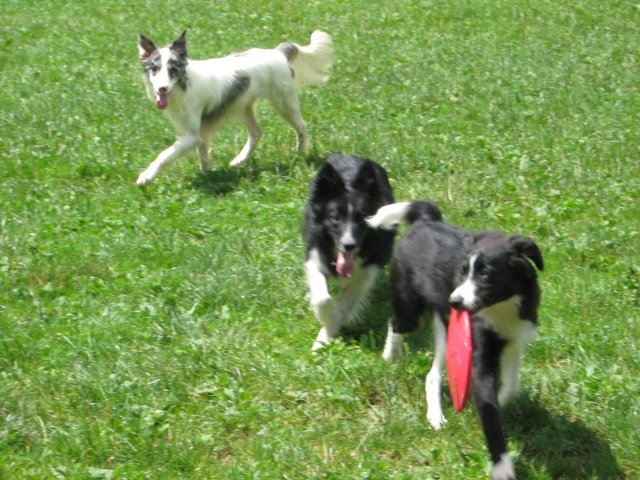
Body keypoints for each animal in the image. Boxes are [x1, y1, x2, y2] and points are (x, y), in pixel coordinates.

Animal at [135, 29, 336, 184]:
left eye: (173, 70)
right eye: (154, 69)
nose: (162, 88)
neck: (184, 84)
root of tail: (278, 52)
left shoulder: (191, 136)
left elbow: (165, 155)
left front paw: (146, 177)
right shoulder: (199, 132)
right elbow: (203, 154)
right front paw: (207, 174)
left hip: (284, 103)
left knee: (302, 127)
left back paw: (300, 154)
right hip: (241, 106)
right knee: (256, 132)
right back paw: (239, 161)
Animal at [368, 201, 544, 478]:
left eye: (485, 274)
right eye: (462, 272)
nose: (455, 301)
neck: (502, 306)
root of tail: (427, 220)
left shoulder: (514, 339)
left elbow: (511, 387)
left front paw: (499, 402)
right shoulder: (481, 358)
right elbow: (491, 418)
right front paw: (502, 465)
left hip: (445, 327)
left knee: (432, 375)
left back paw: (435, 413)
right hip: (410, 304)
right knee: (397, 324)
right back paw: (393, 358)